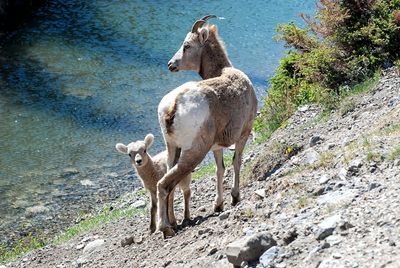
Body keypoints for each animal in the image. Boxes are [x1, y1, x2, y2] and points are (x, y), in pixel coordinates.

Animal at [156, 15, 256, 237]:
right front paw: (235, 197)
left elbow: (220, 169)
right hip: (194, 151)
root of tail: (173, 106)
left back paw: (173, 222)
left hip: (173, 149)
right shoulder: (243, 134)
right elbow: (237, 162)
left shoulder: (216, 147)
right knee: (164, 184)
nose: (170, 64)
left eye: (186, 45)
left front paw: (218, 205)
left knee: (171, 182)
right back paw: (166, 229)